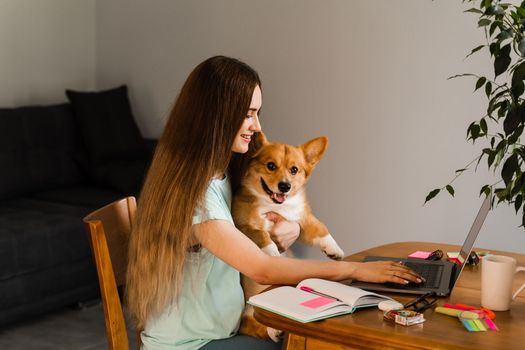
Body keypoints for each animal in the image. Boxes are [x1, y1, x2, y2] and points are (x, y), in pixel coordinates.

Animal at [231, 132, 342, 342]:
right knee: (254, 324)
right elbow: (260, 233)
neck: (275, 206)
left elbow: (320, 226)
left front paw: (334, 249)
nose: (285, 186)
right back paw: (275, 330)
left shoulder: (300, 219)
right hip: (248, 313)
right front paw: (272, 251)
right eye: (271, 165)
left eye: (294, 169)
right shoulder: (241, 225)